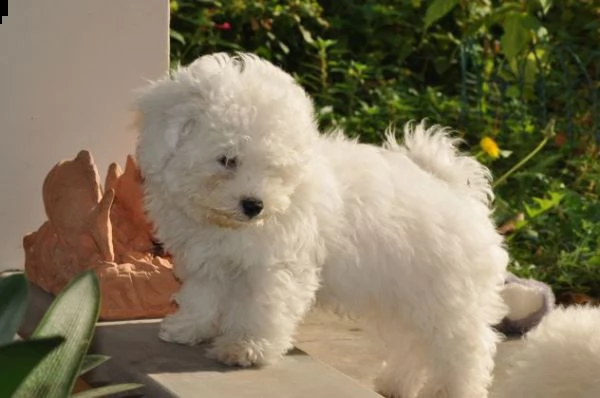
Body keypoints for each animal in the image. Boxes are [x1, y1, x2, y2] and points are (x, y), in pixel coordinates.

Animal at [135, 53, 506, 398]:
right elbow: (203, 295)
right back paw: (397, 383)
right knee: (413, 342)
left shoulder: (276, 266)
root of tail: (457, 192)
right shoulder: (207, 260)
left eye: (273, 166)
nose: (254, 205)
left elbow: (263, 306)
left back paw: (453, 389)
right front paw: (187, 328)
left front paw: (247, 347)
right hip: (404, 295)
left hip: (447, 297)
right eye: (227, 160)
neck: (230, 225)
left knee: (464, 349)